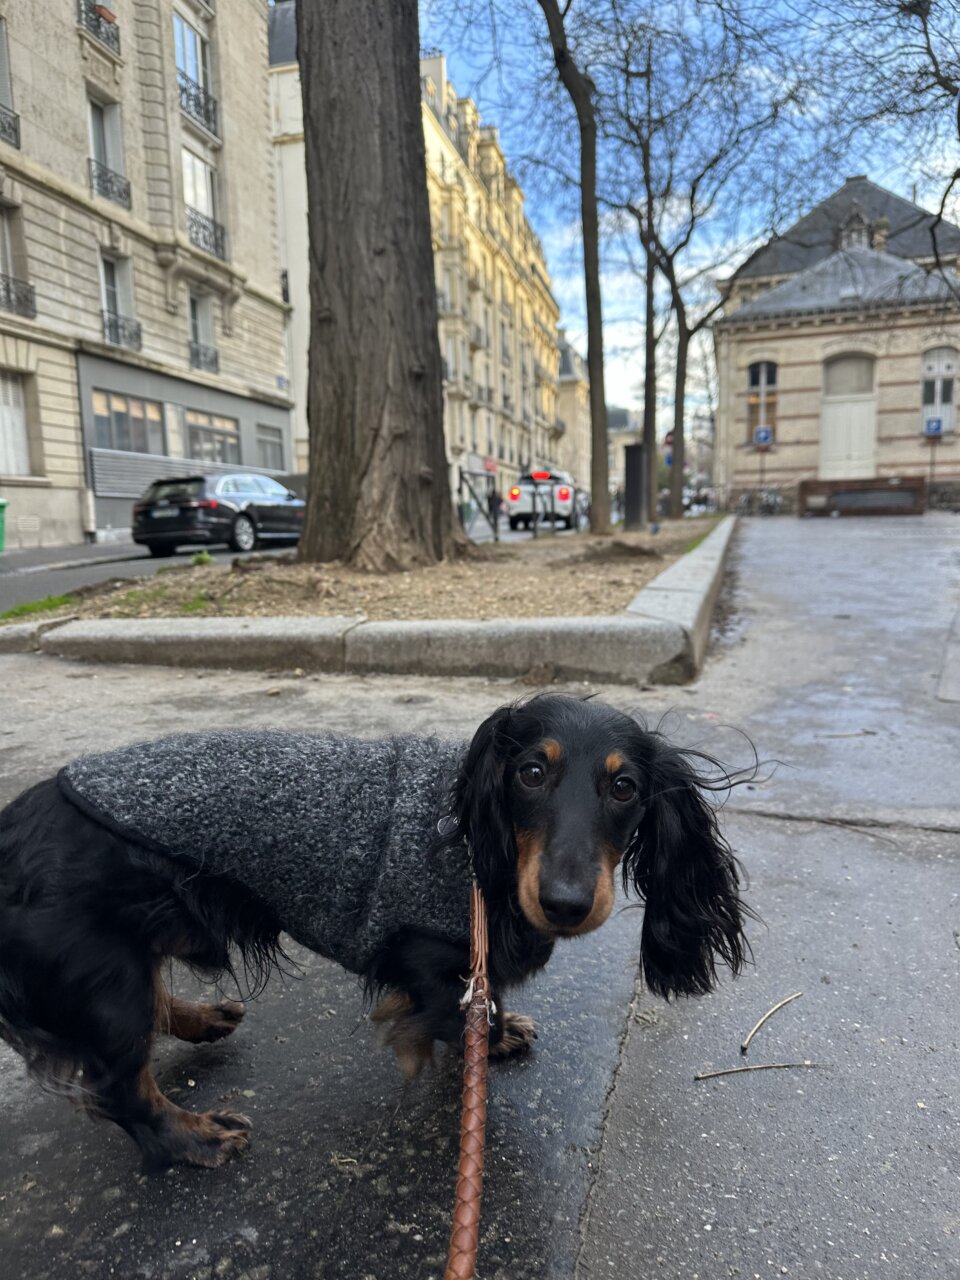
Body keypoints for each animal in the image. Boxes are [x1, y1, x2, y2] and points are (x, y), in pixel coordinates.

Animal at [0, 701, 752, 1172]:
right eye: (531, 772)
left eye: (625, 787)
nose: (564, 904)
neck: (480, 848)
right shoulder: (425, 959)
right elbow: (450, 1009)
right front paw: (486, 1033)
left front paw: (499, 1024)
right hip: (106, 976)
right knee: (124, 1084)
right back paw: (191, 1139)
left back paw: (202, 1018)